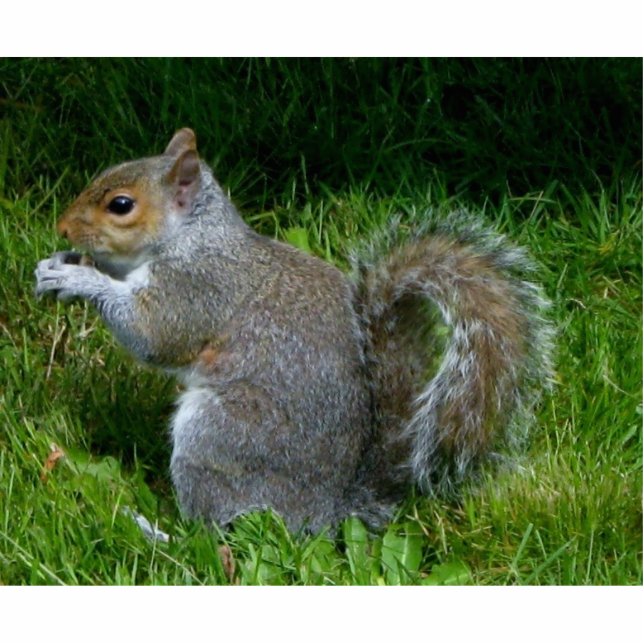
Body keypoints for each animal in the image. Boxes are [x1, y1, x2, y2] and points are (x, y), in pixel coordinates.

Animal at [35, 128, 554, 533]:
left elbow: (154, 336)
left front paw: (80, 279)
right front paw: (61, 265)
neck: (193, 237)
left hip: (221, 437)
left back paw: (157, 532)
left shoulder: (197, 288)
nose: (61, 227)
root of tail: (325, 514)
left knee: (214, 529)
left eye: (121, 205)